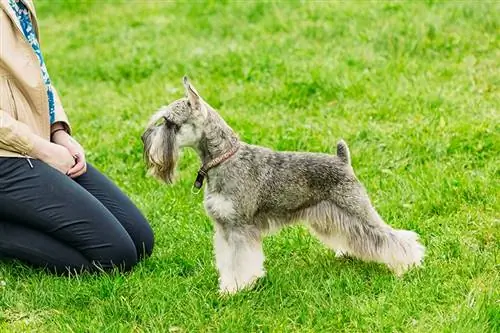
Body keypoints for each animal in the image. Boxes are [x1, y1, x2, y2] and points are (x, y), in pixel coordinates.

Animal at [142, 76, 426, 294]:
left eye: (169, 122)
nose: (144, 139)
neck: (225, 158)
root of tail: (342, 160)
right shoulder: (224, 229)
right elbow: (227, 261)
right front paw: (228, 285)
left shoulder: (239, 228)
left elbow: (240, 261)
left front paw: (236, 289)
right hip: (332, 217)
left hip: (356, 209)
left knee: (393, 237)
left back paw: (408, 264)